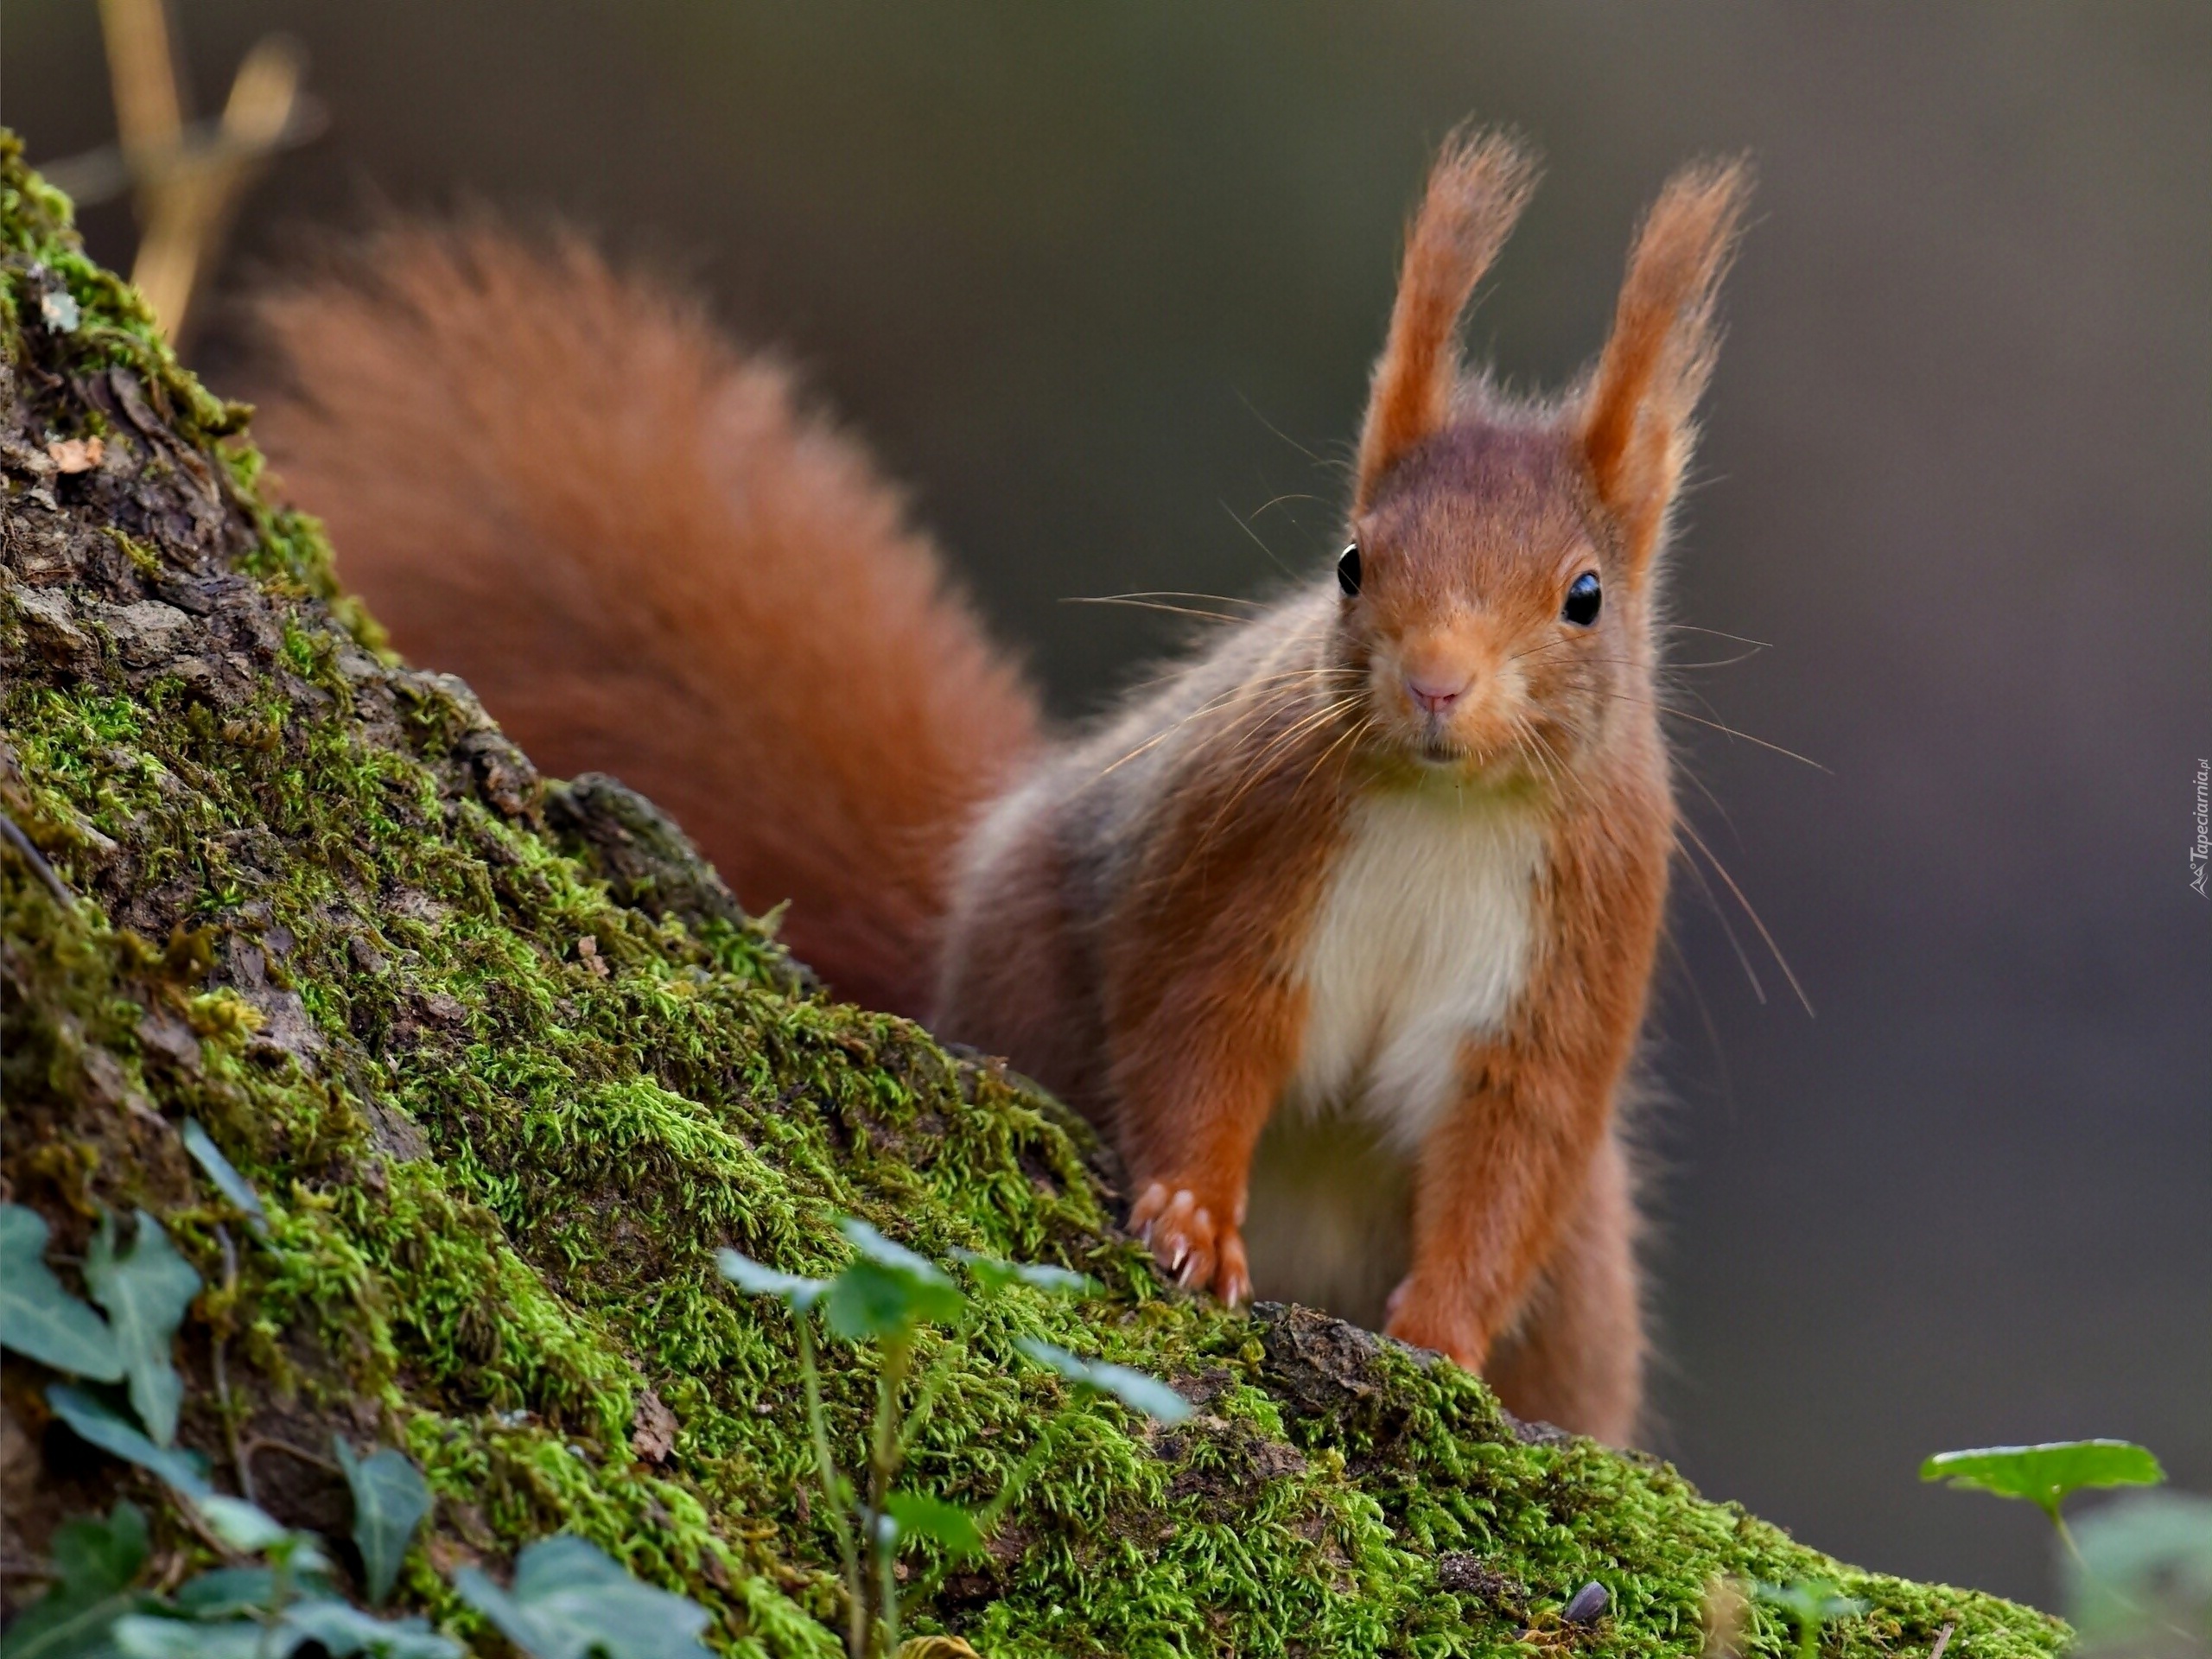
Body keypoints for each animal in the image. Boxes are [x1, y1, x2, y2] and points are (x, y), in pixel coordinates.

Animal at [242, 126, 1751, 1442]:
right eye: (1350, 563)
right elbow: (1197, 1029)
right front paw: (1191, 1219)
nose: (1436, 683)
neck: (1446, 808)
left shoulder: (1574, 952)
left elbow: (1511, 1158)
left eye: (1585, 598)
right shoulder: (1240, 854)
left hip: (1590, 1288)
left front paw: (1440, 1339)